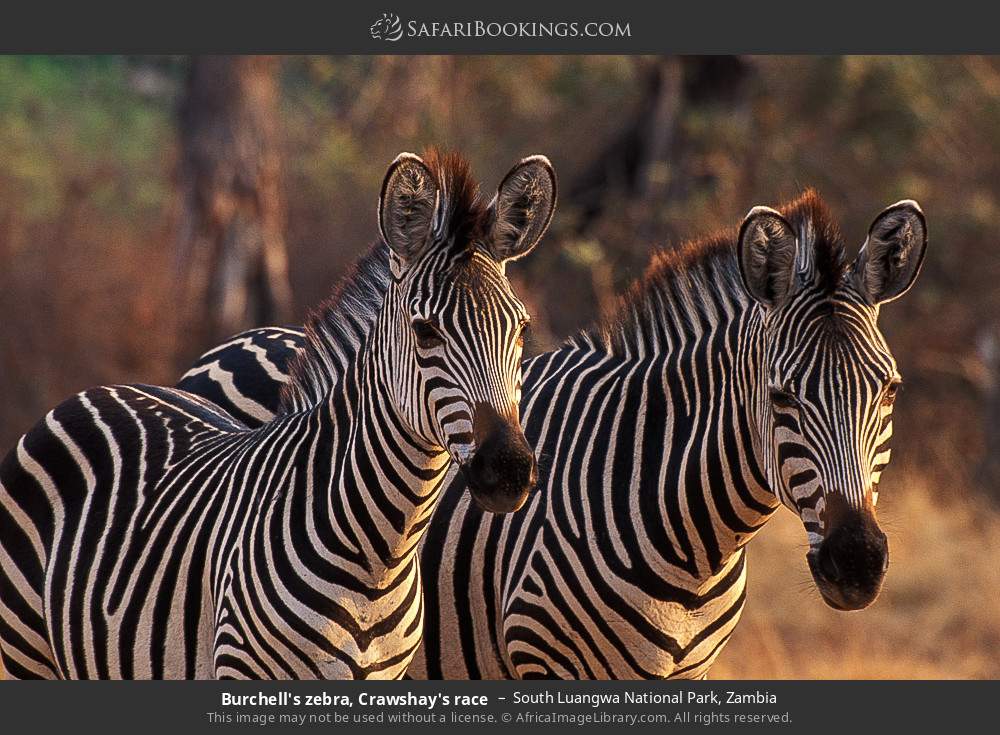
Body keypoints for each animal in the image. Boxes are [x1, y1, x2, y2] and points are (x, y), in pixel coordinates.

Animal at [0, 149, 557, 679]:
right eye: (425, 332)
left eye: (522, 330)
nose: (509, 469)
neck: (381, 559)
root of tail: (91, 392)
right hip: (23, 656)